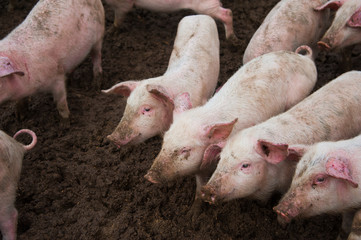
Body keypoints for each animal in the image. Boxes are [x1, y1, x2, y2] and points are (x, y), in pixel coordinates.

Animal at [103, 0, 236, 40]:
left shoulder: (122, 4)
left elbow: (118, 19)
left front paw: (109, 33)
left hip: (205, 5)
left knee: (227, 12)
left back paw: (231, 39)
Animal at [145, 45, 316, 216]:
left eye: (185, 149)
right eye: (164, 141)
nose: (149, 176)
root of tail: (305, 59)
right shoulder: (200, 168)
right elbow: (200, 186)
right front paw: (192, 214)